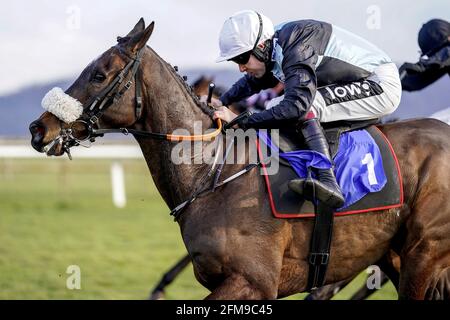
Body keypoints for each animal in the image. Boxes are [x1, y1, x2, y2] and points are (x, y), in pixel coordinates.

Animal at [29, 18, 450, 300]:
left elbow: (300, 97)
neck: (213, 170)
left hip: (423, 255)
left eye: (100, 75)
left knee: (311, 105)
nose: (38, 129)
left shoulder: (253, 282)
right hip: (395, 256)